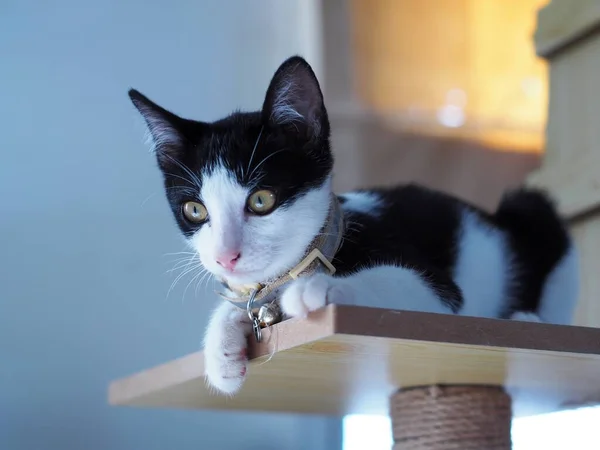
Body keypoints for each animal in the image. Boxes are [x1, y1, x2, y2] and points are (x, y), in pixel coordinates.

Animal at [129, 54, 580, 396]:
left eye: (261, 200)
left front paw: (319, 288)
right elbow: (245, 302)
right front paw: (221, 347)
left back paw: (528, 320)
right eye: (195, 210)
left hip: (534, 213)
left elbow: (406, 283)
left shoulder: (440, 291)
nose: (226, 256)